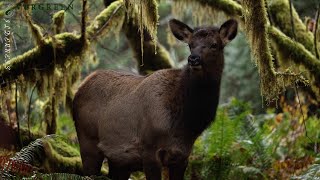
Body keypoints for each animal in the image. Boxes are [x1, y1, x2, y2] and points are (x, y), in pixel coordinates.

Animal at [72, 18, 238, 180]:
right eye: (190, 45)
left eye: (214, 45)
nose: (193, 59)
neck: (185, 123)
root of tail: (80, 88)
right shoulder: (149, 149)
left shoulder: (182, 156)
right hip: (87, 141)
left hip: (119, 161)